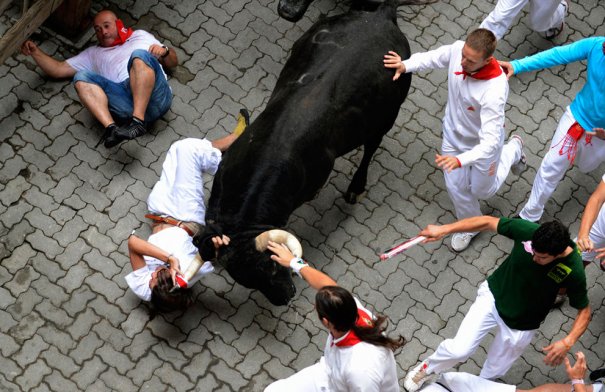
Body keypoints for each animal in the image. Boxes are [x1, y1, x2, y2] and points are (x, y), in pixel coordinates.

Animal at [196, 0, 412, 306]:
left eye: (274, 265)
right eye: (245, 279)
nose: (285, 297)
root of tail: (380, 16)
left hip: (387, 116)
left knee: (371, 147)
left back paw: (355, 188)